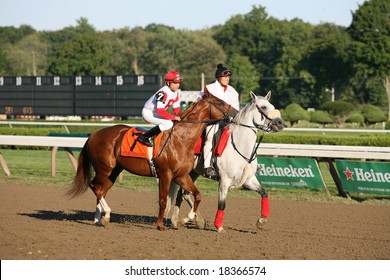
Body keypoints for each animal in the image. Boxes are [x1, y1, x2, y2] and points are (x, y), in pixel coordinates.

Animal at [66, 91, 235, 231]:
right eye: (220, 102)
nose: (235, 112)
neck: (181, 139)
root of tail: (93, 135)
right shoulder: (165, 174)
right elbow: (163, 201)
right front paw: (160, 226)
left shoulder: (181, 175)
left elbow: (197, 195)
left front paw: (185, 220)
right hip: (104, 169)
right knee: (94, 186)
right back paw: (105, 215)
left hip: (113, 172)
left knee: (102, 190)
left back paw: (101, 220)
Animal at [165, 91, 284, 232]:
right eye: (264, 107)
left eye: (272, 106)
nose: (280, 123)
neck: (240, 147)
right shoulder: (224, 181)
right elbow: (222, 204)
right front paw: (219, 227)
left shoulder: (249, 180)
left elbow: (264, 193)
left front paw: (262, 221)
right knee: (184, 193)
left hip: (193, 173)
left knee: (183, 194)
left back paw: (182, 221)